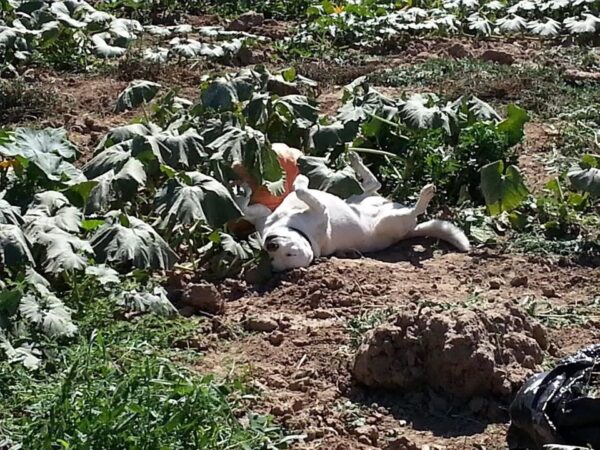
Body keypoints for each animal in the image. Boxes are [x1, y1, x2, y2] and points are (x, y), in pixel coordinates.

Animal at [241, 152, 472, 270]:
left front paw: (242, 192)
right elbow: (299, 192)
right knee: (415, 210)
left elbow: (247, 209)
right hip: (390, 218)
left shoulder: (267, 217)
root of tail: (411, 231)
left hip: (359, 199)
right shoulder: (317, 211)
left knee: (374, 184)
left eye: (289, 253)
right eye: (278, 256)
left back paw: (355, 160)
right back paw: (425, 195)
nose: (271, 244)